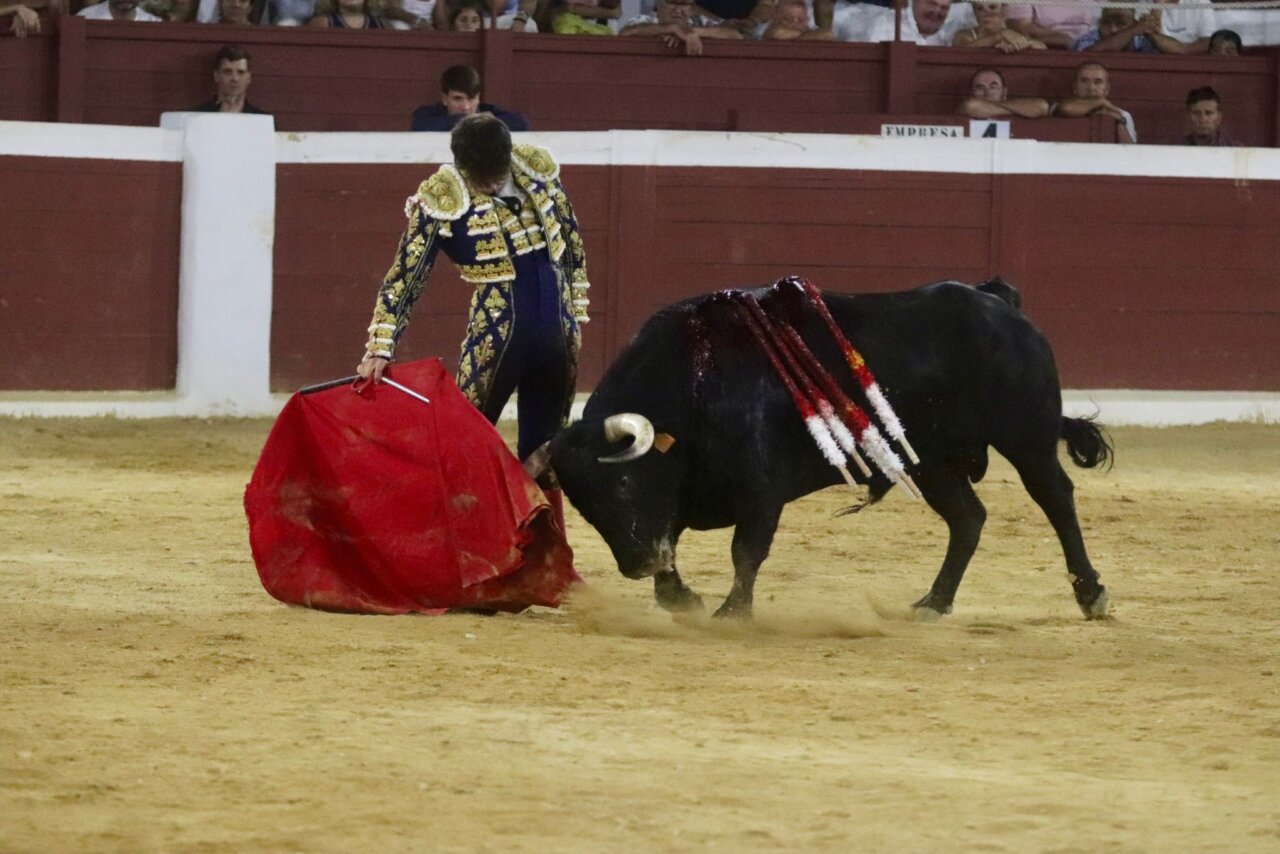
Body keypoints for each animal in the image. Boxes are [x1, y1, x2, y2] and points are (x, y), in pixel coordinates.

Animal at [530, 278, 1113, 621]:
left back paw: (1092, 594)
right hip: (933, 462)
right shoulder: (674, 500)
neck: (693, 385)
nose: (636, 565)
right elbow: (672, 539)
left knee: (1056, 499)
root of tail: (998, 302)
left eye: (624, 480)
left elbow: (746, 551)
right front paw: (680, 598)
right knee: (968, 518)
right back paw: (934, 602)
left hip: (1026, 437)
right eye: (582, 504)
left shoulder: (760, 492)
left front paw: (731, 614)